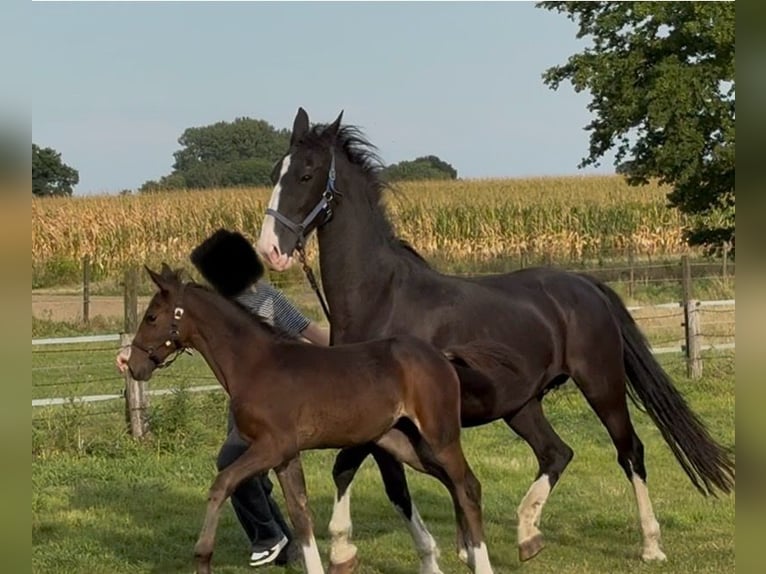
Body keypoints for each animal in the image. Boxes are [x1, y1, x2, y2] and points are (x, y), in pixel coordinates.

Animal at [124, 264, 524, 574]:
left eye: (152, 317)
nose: (134, 365)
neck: (255, 365)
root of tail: (442, 355)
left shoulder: (272, 446)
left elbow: (221, 484)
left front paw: (203, 557)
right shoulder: (285, 456)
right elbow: (300, 514)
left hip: (440, 436)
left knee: (467, 485)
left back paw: (481, 561)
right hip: (404, 443)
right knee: (454, 483)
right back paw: (463, 552)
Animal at [255, 107, 735, 571]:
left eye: (307, 173)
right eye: (276, 170)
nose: (270, 250)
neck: (382, 297)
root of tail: (585, 284)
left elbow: (353, 470)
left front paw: (344, 549)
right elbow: (387, 480)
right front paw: (459, 550)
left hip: (602, 383)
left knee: (629, 451)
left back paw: (650, 545)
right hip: (521, 404)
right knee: (556, 453)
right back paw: (527, 535)